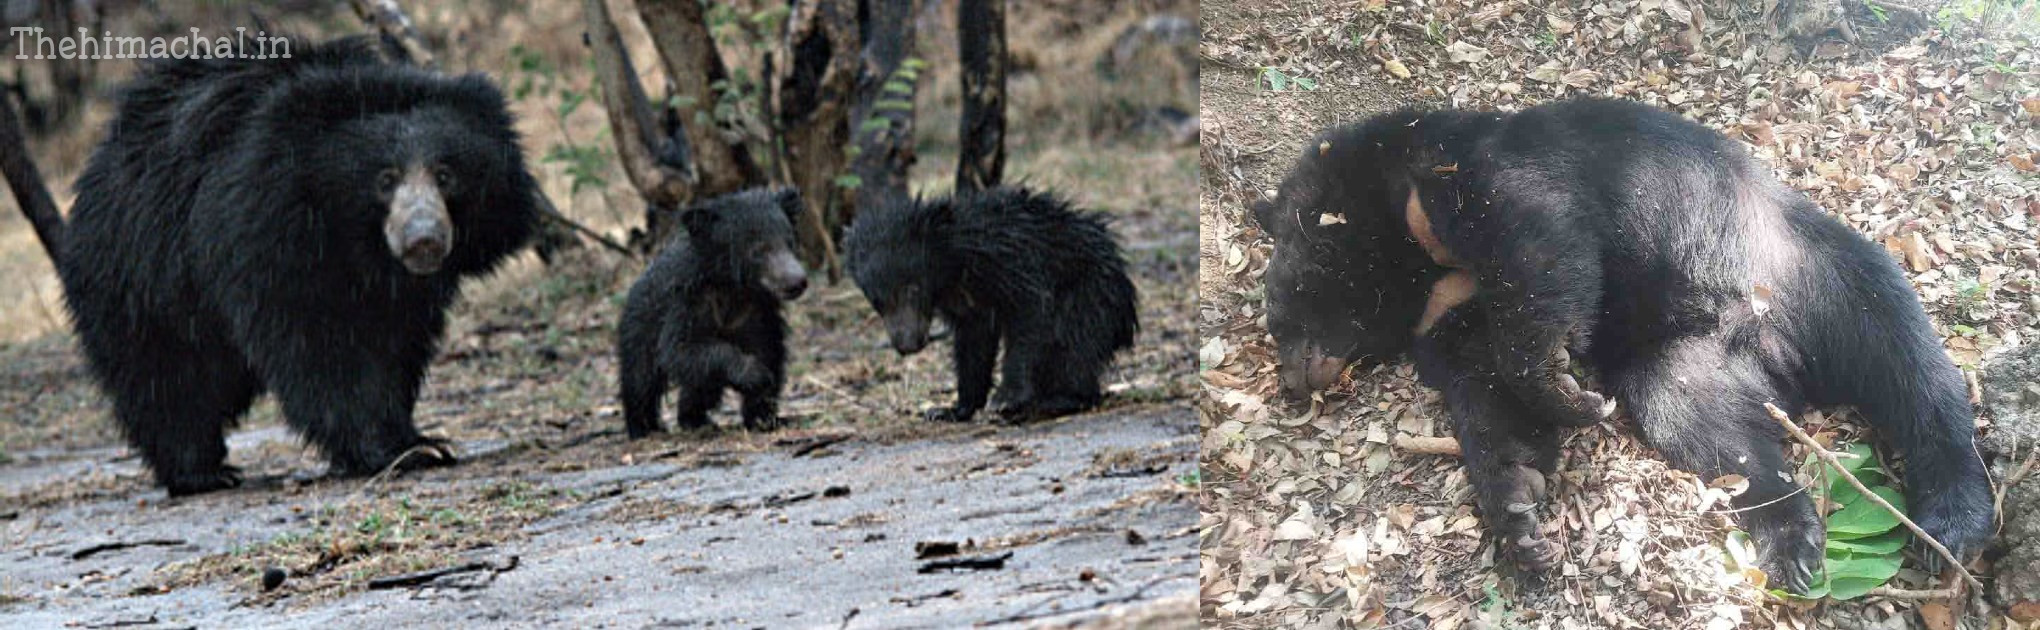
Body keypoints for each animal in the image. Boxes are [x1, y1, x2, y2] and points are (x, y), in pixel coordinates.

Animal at [616, 185, 807, 436]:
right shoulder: (689, 305)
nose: (798, 281)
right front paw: (754, 375)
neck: (733, 289)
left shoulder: (757, 312)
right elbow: (681, 349)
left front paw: (763, 417)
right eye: (758, 251)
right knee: (640, 379)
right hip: (640, 327)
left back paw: (694, 419)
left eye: (790, 241)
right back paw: (644, 427)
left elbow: (769, 350)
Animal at [840, 186, 1134, 422]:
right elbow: (974, 344)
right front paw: (948, 410)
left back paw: (1056, 401)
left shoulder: (1009, 260)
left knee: (1072, 342)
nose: (907, 345)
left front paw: (1005, 399)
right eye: (876, 301)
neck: (952, 270)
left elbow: (1030, 311)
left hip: (1089, 291)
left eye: (913, 289)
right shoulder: (967, 304)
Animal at [1256, 99, 1991, 595]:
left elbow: (1540, 237)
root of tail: (1776, 352)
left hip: (1816, 269)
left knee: (1906, 364)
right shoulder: (1448, 308)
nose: (1293, 379)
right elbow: (1486, 398)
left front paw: (1562, 385)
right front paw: (1521, 518)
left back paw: (1953, 520)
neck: (1416, 260)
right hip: (1690, 360)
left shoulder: (1461, 175)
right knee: (1709, 426)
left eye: (1284, 304)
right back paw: (1791, 539)